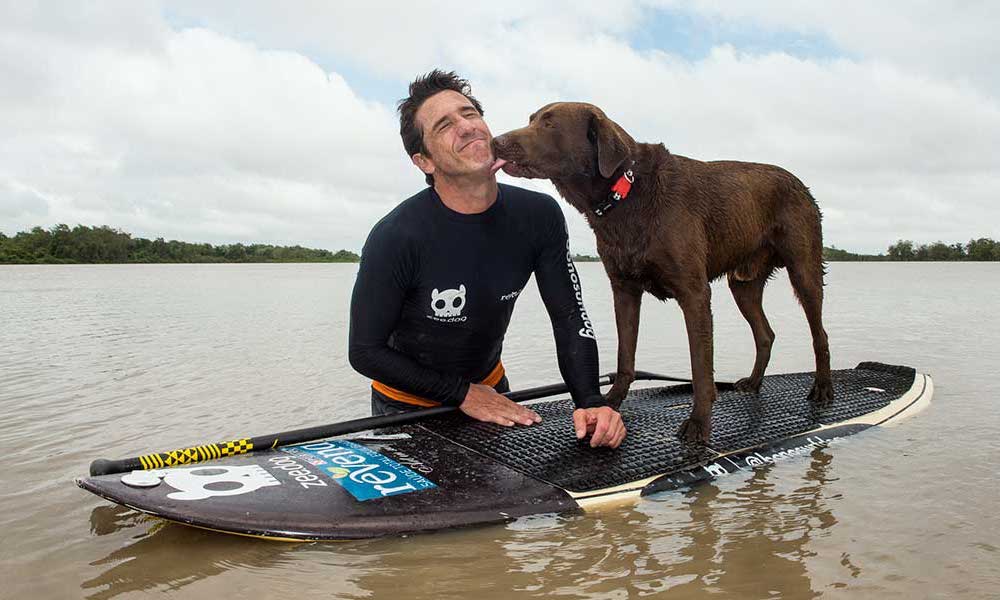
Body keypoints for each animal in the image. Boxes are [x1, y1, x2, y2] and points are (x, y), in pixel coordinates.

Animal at [490, 102, 828, 440]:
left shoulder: (694, 292)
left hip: (804, 270)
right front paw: (610, 403)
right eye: (531, 119)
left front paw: (699, 422)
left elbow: (700, 367)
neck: (625, 193)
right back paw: (754, 382)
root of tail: (801, 184)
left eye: (549, 124)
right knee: (765, 334)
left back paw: (823, 388)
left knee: (819, 334)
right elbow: (625, 355)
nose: (496, 141)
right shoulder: (624, 289)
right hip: (743, 285)